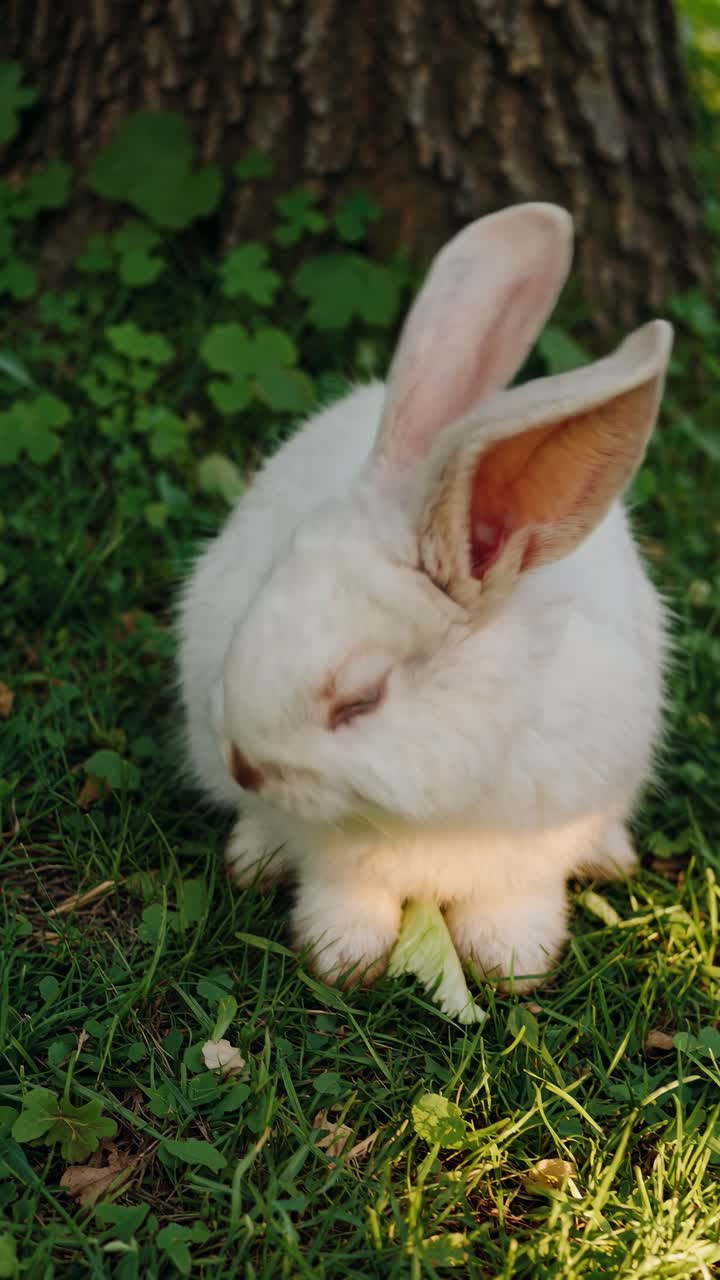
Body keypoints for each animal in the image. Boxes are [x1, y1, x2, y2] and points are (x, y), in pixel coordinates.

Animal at [177, 202, 673, 992]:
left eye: (362, 699)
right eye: (262, 593)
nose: (243, 765)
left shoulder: (538, 843)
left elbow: (515, 903)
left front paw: (513, 963)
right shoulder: (336, 856)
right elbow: (344, 892)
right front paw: (342, 958)